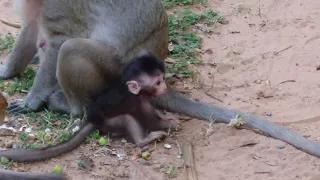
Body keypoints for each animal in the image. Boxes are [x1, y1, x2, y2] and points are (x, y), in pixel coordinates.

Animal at [0, 0, 320, 165]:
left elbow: (57, 41)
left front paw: (32, 101)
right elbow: (30, 29)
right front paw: (6, 71)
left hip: (115, 69)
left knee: (71, 49)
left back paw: (69, 107)